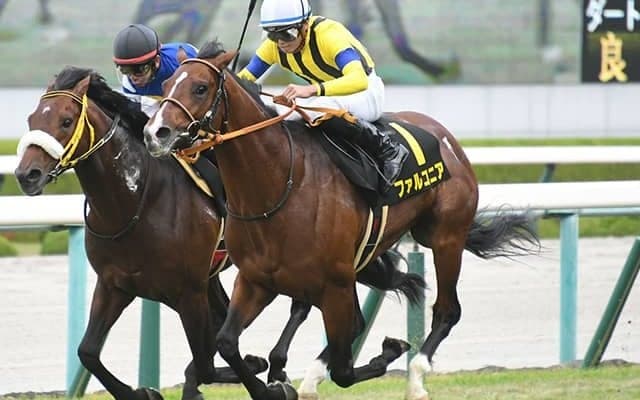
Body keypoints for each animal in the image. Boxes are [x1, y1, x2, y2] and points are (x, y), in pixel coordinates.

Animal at [143, 40, 540, 400]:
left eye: (200, 87)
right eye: (166, 85)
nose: (155, 133)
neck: (278, 185)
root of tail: (446, 139)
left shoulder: (333, 283)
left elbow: (345, 370)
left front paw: (389, 351)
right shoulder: (257, 279)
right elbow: (227, 342)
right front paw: (273, 386)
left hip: (445, 237)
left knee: (446, 311)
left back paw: (415, 377)